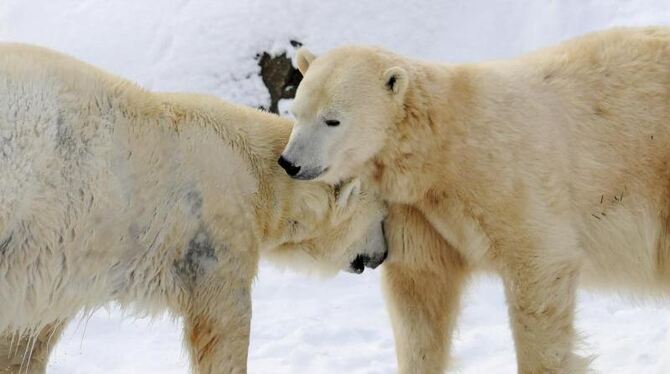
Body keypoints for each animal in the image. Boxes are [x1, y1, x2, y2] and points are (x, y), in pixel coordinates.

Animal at [280, 27, 670, 372]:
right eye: (297, 112)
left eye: (332, 120)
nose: (290, 163)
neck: (442, 147)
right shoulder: (416, 211)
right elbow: (420, 291)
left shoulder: (506, 177)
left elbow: (538, 266)